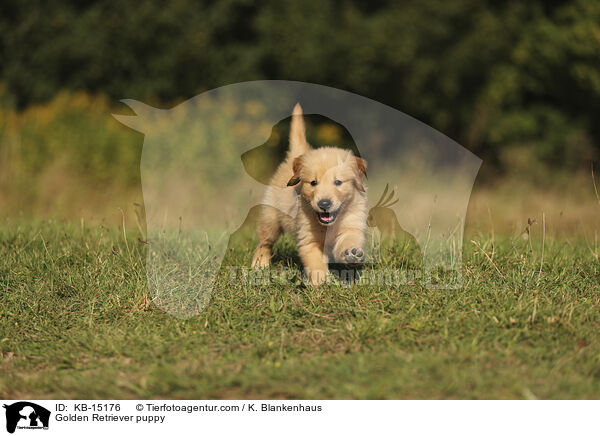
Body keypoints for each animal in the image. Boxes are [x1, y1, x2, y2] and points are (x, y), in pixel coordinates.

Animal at [252, 104, 368, 284]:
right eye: (313, 183)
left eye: (338, 182)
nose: (324, 203)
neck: (328, 225)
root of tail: (296, 155)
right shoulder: (309, 240)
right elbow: (315, 263)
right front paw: (321, 283)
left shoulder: (352, 226)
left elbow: (348, 240)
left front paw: (352, 254)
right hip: (270, 219)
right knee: (264, 243)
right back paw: (259, 266)